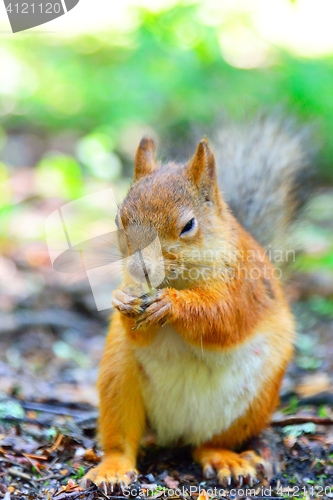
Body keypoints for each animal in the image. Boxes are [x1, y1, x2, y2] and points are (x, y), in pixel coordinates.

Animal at [82, 116, 312, 488]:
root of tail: (175, 432)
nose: (140, 268)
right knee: (123, 439)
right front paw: (122, 297)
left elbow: (224, 319)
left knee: (208, 444)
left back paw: (226, 461)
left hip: (252, 404)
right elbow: (137, 330)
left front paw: (171, 305)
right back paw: (113, 467)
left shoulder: (242, 286)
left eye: (188, 225)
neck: (180, 279)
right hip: (118, 380)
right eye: (119, 220)